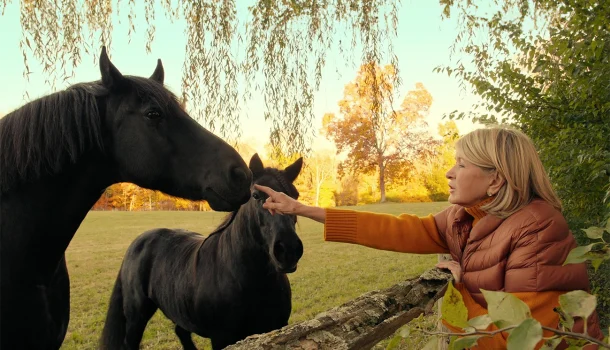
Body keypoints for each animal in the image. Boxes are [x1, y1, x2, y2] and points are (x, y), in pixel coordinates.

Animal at [100, 154, 306, 350]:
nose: (288, 249)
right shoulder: (222, 339)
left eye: (294, 196)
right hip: (136, 317)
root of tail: (139, 241)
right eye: (255, 195)